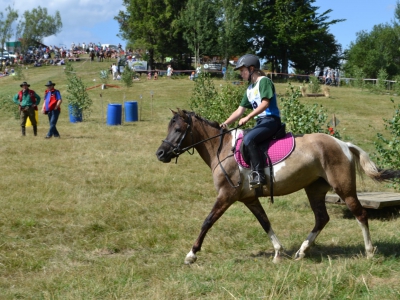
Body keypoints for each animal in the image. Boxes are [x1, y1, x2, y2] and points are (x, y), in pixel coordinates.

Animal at [155, 109, 396, 264]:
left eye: (178, 129)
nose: (160, 153)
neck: (221, 150)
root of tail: (343, 144)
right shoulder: (249, 198)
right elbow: (265, 222)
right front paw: (279, 252)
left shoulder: (226, 195)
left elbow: (207, 222)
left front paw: (191, 254)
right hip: (315, 189)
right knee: (322, 218)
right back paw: (301, 252)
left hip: (344, 189)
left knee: (360, 214)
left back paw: (369, 252)